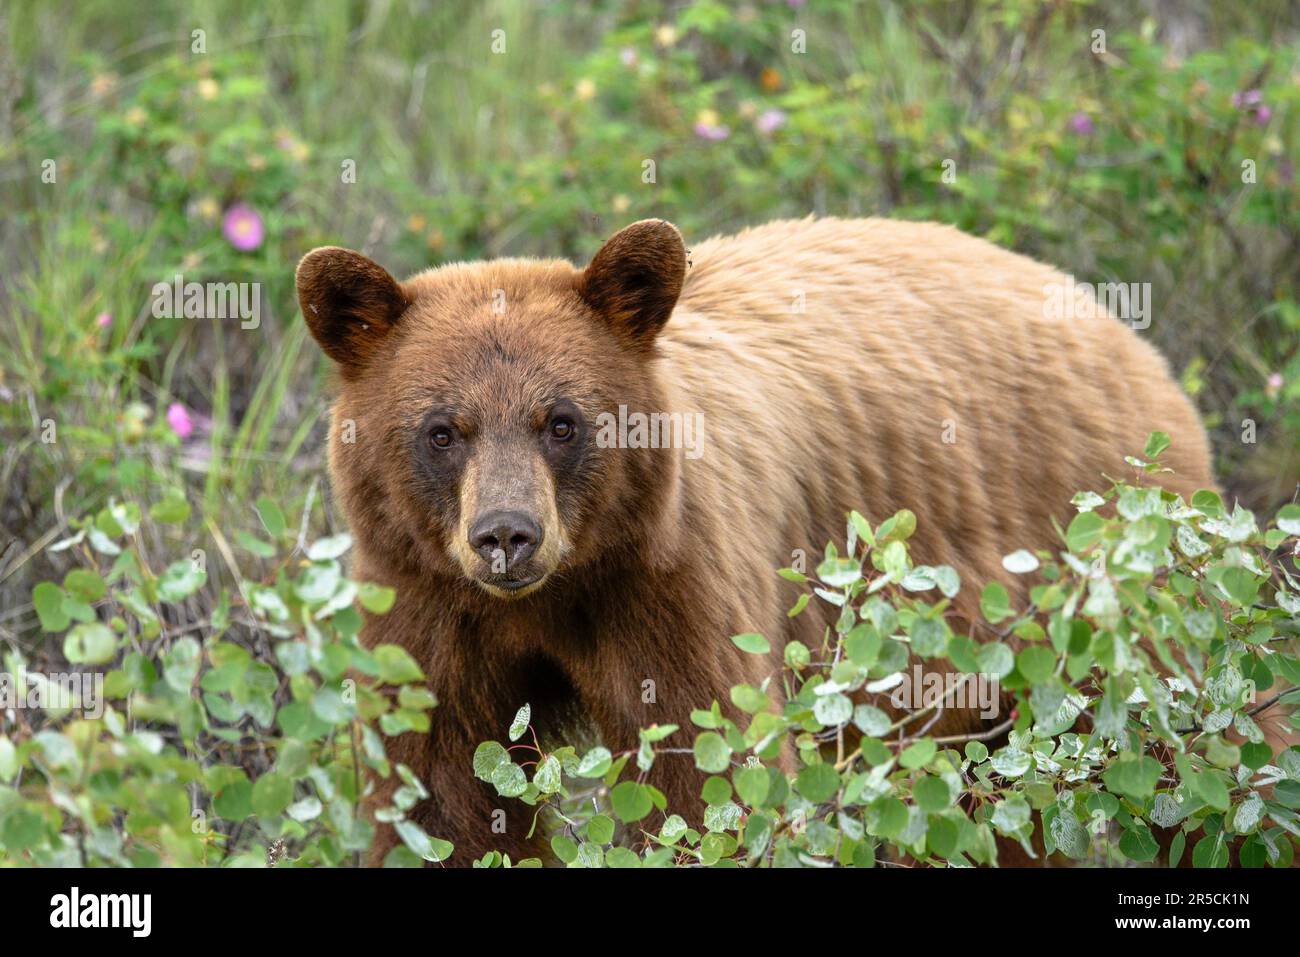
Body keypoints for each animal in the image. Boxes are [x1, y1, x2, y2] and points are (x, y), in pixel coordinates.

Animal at [294, 216, 1214, 866]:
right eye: (442, 430)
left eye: (561, 421)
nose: (506, 536)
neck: (559, 592)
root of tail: (1129, 339)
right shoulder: (424, 605)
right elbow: (441, 797)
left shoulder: (676, 582)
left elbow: (707, 777)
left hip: (1111, 574)